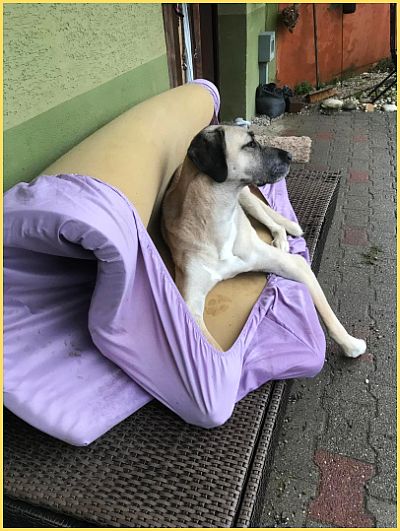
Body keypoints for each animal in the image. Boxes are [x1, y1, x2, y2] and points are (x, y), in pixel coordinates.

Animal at [162, 125, 366, 358]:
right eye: (250, 144)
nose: (290, 155)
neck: (218, 221)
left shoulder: (293, 264)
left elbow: (326, 311)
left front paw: (350, 344)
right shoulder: (190, 306)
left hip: (247, 200)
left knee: (273, 221)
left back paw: (283, 237)